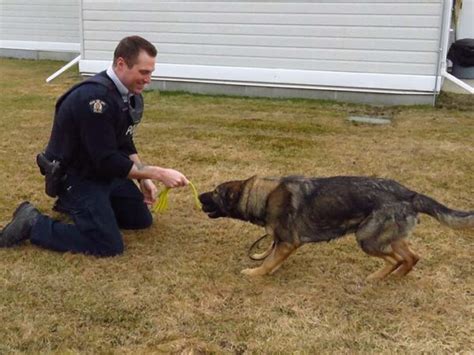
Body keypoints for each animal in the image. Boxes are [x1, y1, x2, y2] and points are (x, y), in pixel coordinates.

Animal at [198, 176, 472, 280]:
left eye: (216, 192)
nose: (199, 195)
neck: (263, 196)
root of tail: (410, 194)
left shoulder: (288, 243)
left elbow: (267, 261)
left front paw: (255, 273)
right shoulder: (282, 242)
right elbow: (272, 256)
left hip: (367, 239)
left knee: (397, 259)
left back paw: (380, 277)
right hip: (388, 237)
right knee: (412, 257)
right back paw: (394, 278)